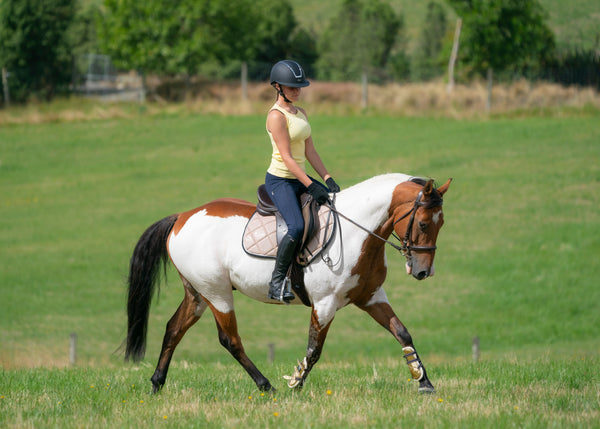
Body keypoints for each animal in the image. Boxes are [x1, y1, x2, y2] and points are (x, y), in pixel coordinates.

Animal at [124, 172, 450, 392]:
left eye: (441, 224)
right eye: (423, 223)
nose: (423, 272)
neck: (359, 233)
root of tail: (182, 217)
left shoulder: (371, 296)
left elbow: (403, 333)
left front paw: (424, 382)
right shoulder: (325, 304)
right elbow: (314, 349)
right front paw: (296, 383)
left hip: (197, 294)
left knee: (174, 329)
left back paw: (156, 384)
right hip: (216, 293)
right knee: (230, 340)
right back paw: (266, 386)